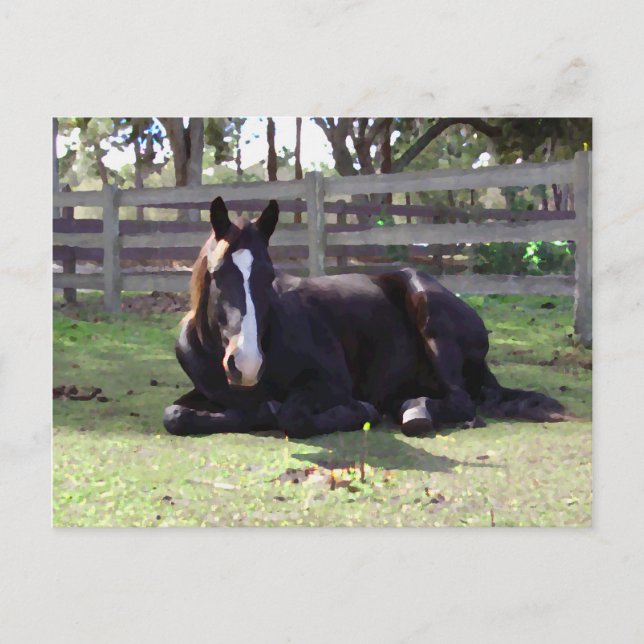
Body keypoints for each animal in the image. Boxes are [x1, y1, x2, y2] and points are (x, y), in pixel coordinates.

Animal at [163, 197, 566, 438]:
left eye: (268, 274)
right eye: (217, 274)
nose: (246, 363)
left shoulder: (330, 383)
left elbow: (293, 416)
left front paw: (357, 411)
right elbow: (175, 416)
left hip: (431, 315)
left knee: (461, 400)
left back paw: (413, 410)